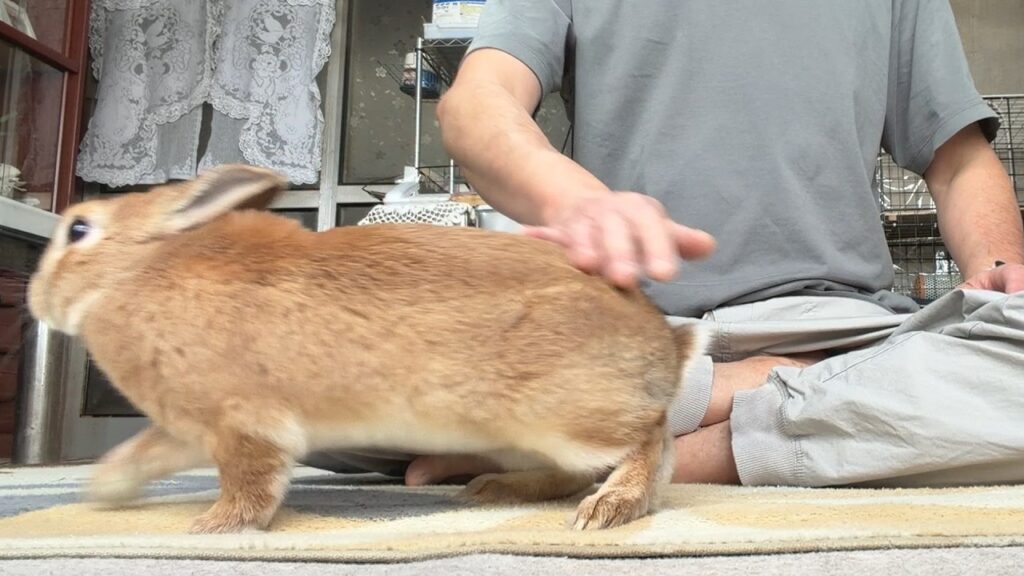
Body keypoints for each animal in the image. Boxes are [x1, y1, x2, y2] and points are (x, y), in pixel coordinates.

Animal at [27, 164, 708, 534]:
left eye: (78, 229)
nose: (34, 298)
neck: (138, 272)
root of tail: (667, 343)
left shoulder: (242, 424)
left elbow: (251, 482)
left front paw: (214, 527)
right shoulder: (189, 429)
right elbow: (142, 454)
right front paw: (103, 492)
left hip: (567, 414)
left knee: (650, 440)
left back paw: (610, 507)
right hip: (517, 436)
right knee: (566, 472)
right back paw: (491, 491)